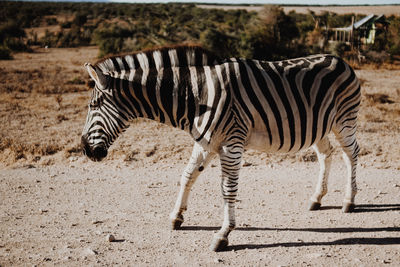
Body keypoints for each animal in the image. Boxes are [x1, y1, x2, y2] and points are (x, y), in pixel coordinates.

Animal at [80, 45, 360, 252]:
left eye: (93, 105)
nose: (85, 150)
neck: (195, 97)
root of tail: (339, 59)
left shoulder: (231, 144)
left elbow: (227, 190)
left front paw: (223, 235)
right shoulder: (205, 143)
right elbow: (187, 176)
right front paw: (176, 217)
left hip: (344, 120)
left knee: (351, 154)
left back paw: (349, 200)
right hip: (318, 126)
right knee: (326, 154)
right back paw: (317, 198)